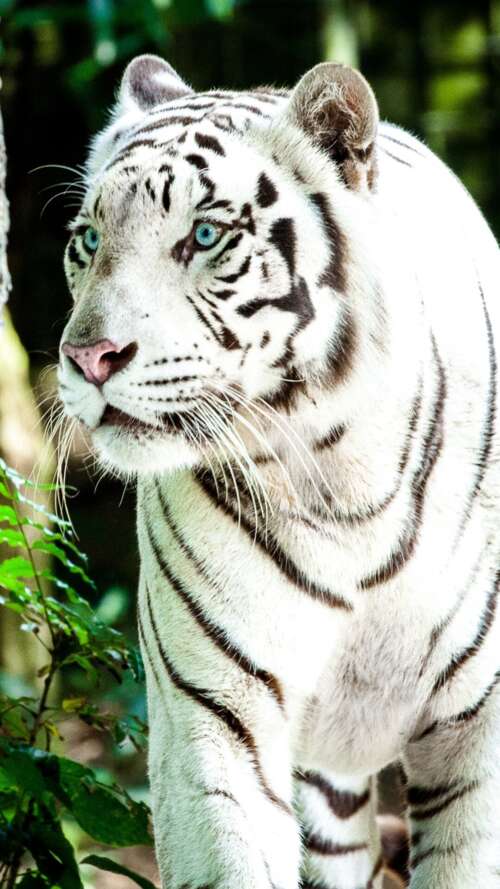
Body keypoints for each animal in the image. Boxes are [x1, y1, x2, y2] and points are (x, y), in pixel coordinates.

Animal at [57, 53, 500, 889]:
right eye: (89, 239)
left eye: (204, 235)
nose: (88, 358)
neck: (340, 475)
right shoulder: (213, 710)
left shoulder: (477, 729)